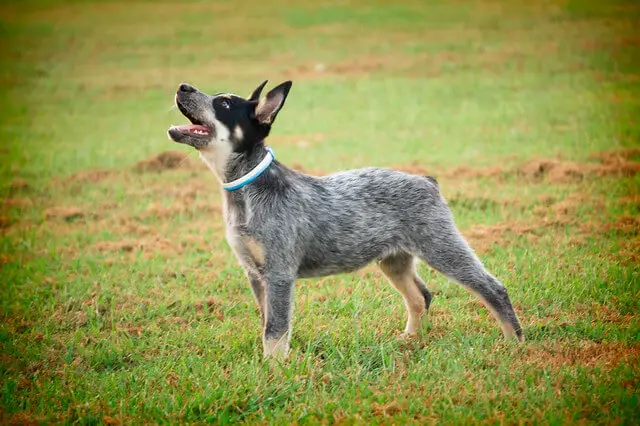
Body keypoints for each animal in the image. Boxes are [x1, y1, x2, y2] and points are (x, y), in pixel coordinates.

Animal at [168, 80, 524, 360]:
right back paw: (409, 341)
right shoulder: (256, 275)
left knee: (493, 288)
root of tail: (427, 181)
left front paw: (274, 369)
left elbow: (276, 329)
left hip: (441, 247)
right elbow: (266, 322)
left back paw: (515, 343)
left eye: (224, 103)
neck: (248, 191)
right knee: (420, 296)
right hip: (394, 260)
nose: (183, 86)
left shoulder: (279, 274)